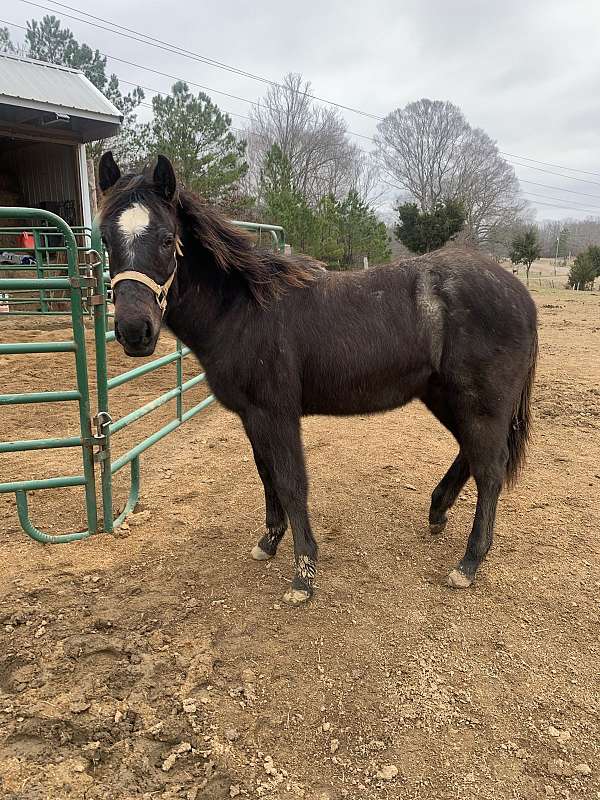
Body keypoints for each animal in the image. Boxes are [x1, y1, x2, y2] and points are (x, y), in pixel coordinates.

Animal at [97, 153, 540, 608]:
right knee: (472, 453)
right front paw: (268, 543)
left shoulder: (276, 413)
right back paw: (437, 513)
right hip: (445, 397)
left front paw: (303, 575)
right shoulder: (251, 416)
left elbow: (291, 483)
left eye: (167, 239)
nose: (134, 331)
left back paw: (468, 564)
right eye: (105, 240)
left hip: (480, 403)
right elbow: (267, 475)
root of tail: (520, 295)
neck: (244, 309)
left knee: (490, 469)